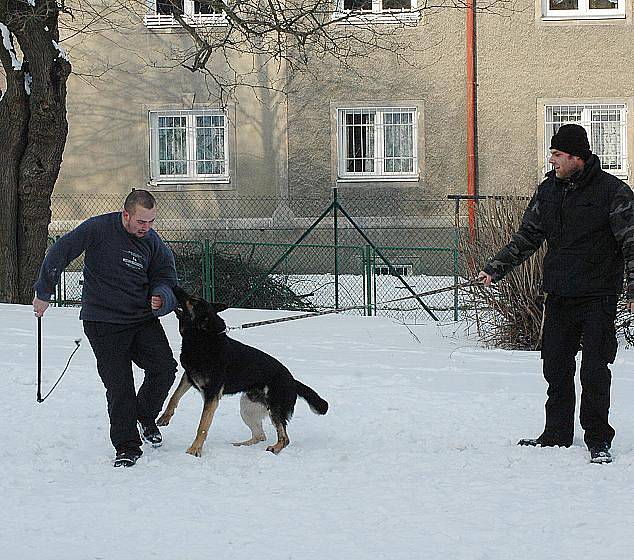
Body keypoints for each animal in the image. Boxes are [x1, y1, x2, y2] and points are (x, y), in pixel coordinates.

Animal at [156, 286, 328, 458]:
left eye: (193, 300)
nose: (175, 287)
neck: (203, 338)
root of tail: (293, 380)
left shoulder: (212, 396)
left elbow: (203, 426)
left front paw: (195, 449)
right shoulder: (188, 377)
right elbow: (174, 396)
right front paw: (165, 417)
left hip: (274, 410)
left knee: (284, 438)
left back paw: (275, 448)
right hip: (247, 408)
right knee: (260, 435)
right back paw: (240, 445)